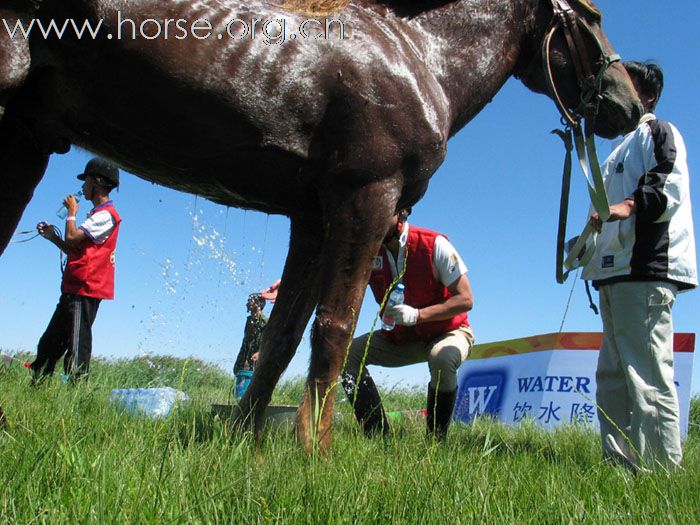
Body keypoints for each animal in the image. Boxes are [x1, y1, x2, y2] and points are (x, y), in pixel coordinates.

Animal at [0, 0, 640, 450]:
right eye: (594, 16)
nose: (629, 103)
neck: (420, 56)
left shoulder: (310, 219)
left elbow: (283, 336)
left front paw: (244, 439)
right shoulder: (365, 198)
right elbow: (332, 327)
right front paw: (317, 451)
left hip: (28, 135)